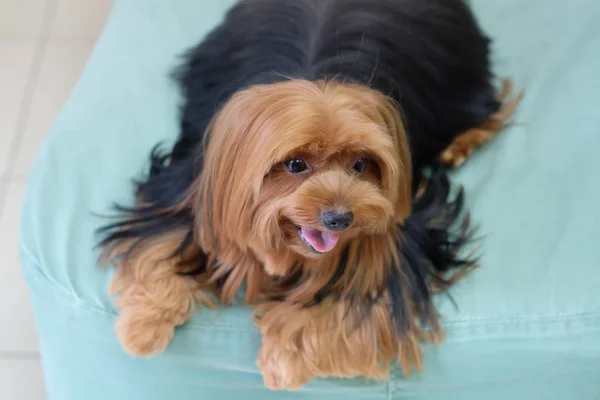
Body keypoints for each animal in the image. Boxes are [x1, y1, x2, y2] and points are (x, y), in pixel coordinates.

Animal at [97, 0, 520, 390]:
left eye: (362, 164)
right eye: (295, 164)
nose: (340, 219)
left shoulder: (399, 226)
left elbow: (354, 291)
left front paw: (284, 358)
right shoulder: (191, 189)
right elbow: (159, 242)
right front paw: (143, 327)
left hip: (459, 77)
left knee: (486, 104)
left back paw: (460, 143)